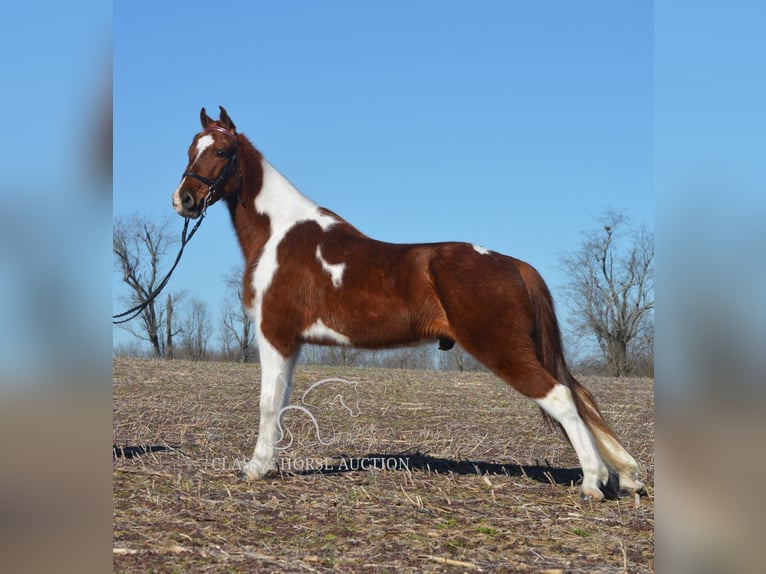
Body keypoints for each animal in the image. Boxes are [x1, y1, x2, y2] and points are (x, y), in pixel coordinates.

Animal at [171, 106, 644, 502]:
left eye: (222, 151)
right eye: (190, 149)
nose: (184, 200)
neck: (280, 234)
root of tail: (514, 264)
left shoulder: (275, 334)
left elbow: (269, 403)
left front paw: (255, 468)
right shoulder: (292, 341)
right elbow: (282, 401)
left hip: (504, 350)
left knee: (561, 396)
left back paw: (592, 484)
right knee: (580, 396)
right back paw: (623, 476)